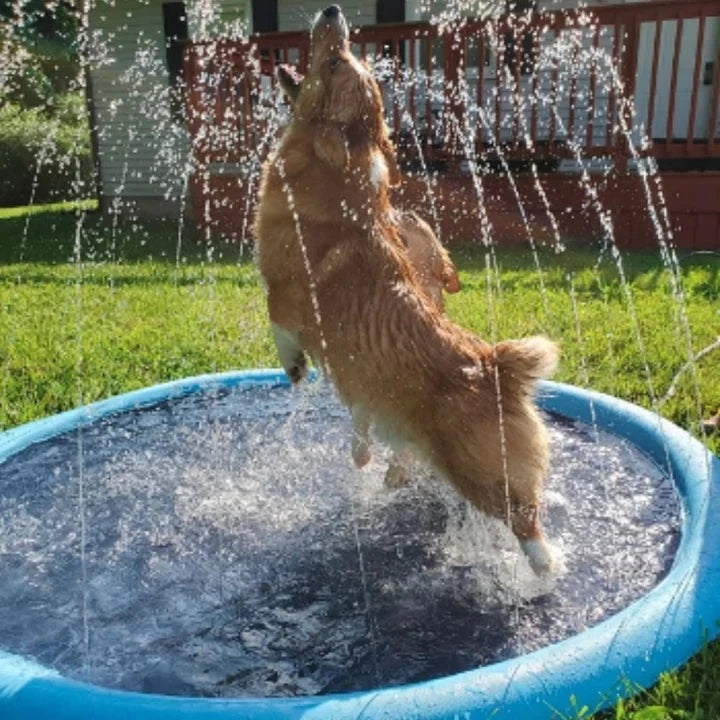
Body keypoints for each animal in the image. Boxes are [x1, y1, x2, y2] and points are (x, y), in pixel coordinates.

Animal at [253, 5, 556, 576]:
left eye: (334, 62)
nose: (333, 12)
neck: (333, 170)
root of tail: (497, 368)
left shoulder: (284, 292)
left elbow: (278, 324)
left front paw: (295, 366)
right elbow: (359, 422)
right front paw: (361, 454)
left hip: (480, 473)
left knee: (526, 522)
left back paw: (542, 573)